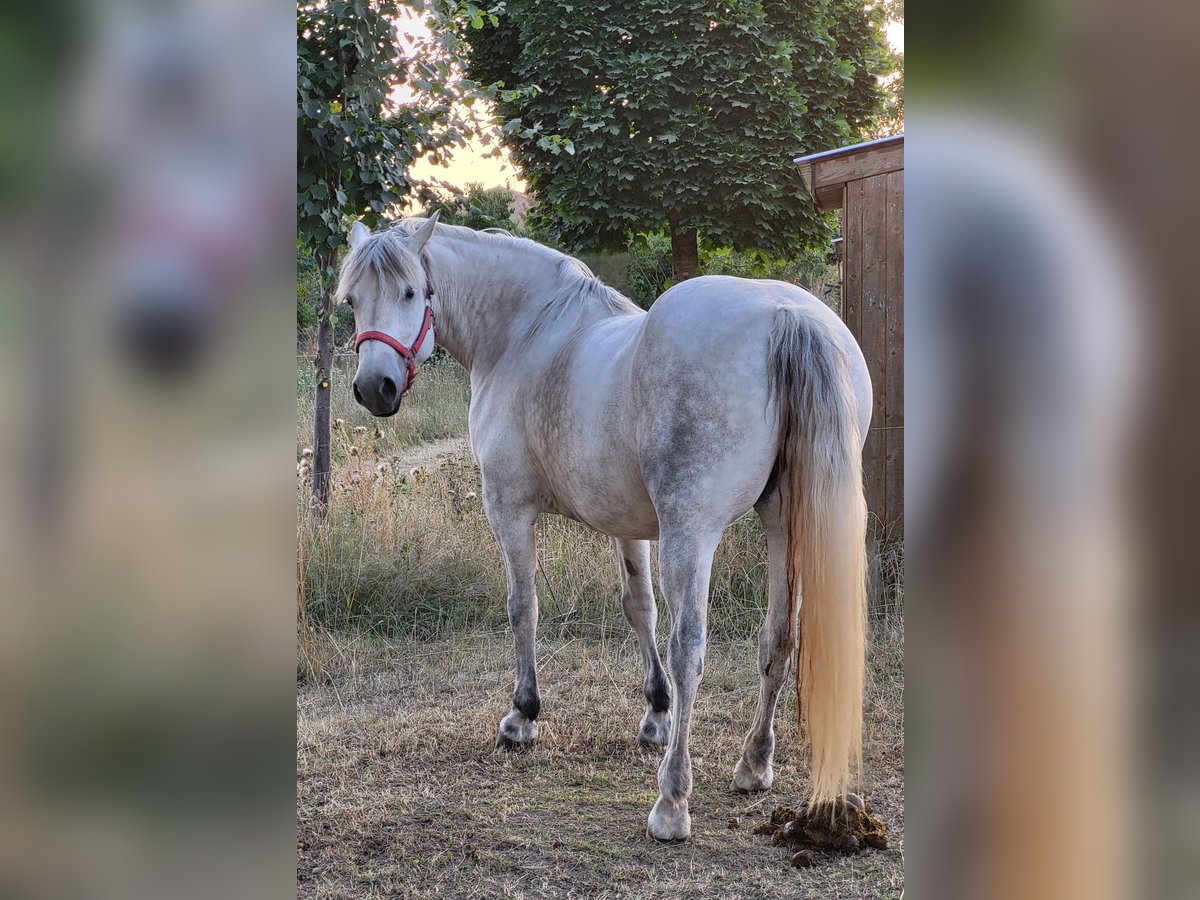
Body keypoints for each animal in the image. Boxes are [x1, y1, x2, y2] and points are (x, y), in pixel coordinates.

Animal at [337, 212, 871, 841]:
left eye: (410, 292)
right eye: (352, 299)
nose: (375, 388)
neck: (523, 333)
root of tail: (789, 316)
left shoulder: (508, 507)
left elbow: (523, 607)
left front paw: (522, 715)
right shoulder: (627, 522)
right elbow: (639, 606)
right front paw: (656, 714)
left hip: (693, 533)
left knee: (691, 648)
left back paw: (672, 802)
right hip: (784, 520)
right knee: (779, 637)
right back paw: (753, 763)